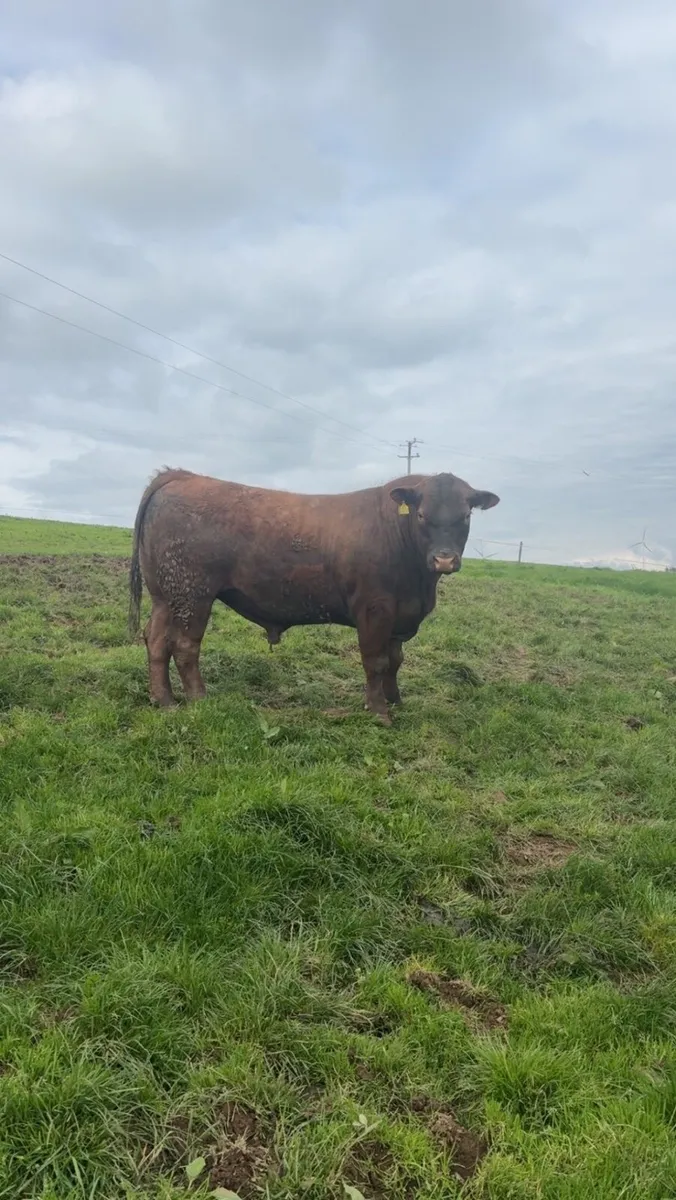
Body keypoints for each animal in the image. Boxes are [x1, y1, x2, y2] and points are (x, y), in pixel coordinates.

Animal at [128, 468, 500, 723]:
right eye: (421, 515)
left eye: (466, 516)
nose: (444, 559)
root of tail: (182, 476)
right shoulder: (375, 609)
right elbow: (376, 661)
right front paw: (379, 711)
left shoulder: (400, 615)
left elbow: (395, 661)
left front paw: (396, 700)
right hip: (193, 595)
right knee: (185, 646)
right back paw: (198, 699)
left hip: (165, 596)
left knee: (157, 641)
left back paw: (164, 700)